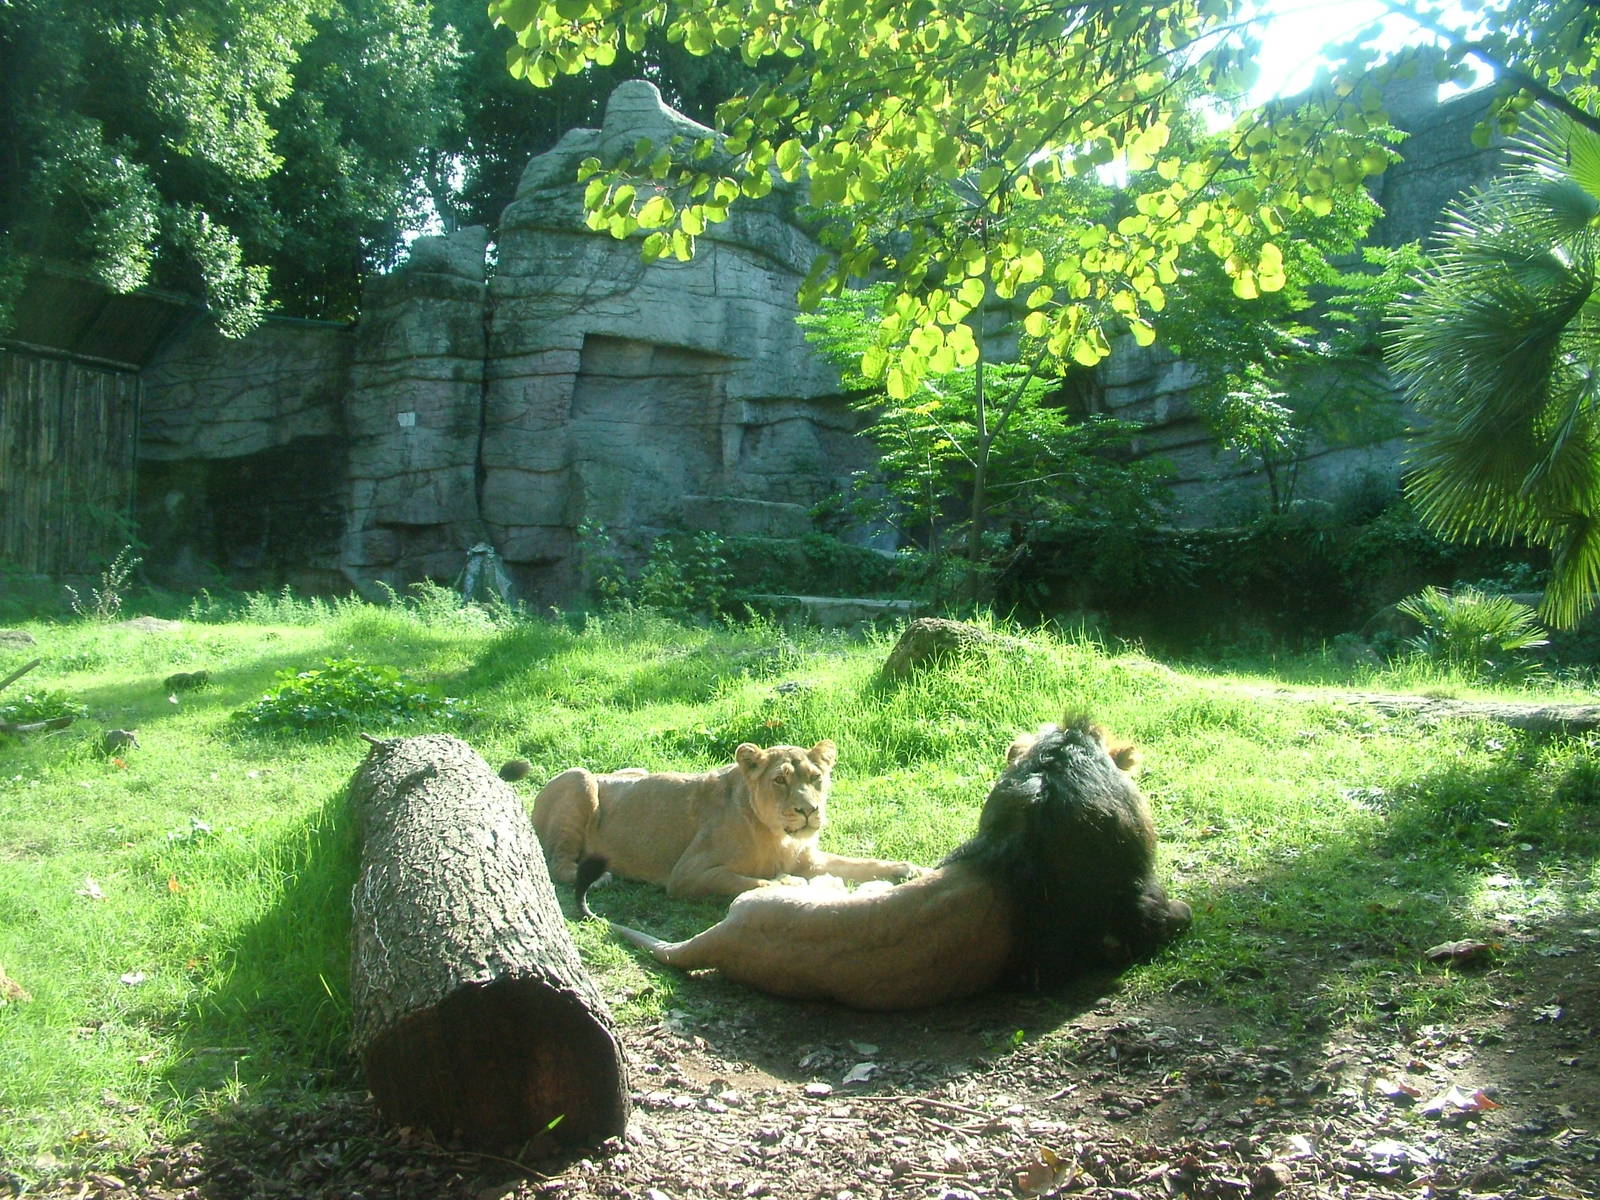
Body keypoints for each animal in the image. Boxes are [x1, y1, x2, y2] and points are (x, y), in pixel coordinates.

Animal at [531, 740, 921, 899]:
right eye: (780, 780)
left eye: (815, 778)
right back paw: (598, 879)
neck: (778, 836)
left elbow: (857, 862)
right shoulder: (687, 874)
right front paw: (787, 884)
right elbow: (747, 882)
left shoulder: (809, 859)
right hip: (580, 778)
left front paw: (907, 869)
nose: (809, 810)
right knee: (556, 863)